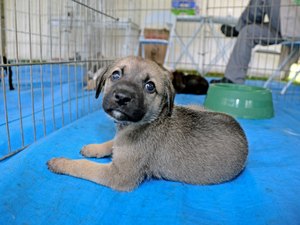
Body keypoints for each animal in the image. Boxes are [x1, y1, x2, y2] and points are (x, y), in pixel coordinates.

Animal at [47, 55, 248, 191]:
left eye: (150, 86)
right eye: (116, 75)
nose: (122, 97)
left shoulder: (119, 175)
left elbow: (84, 166)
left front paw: (60, 163)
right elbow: (111, 143)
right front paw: (93, 148)